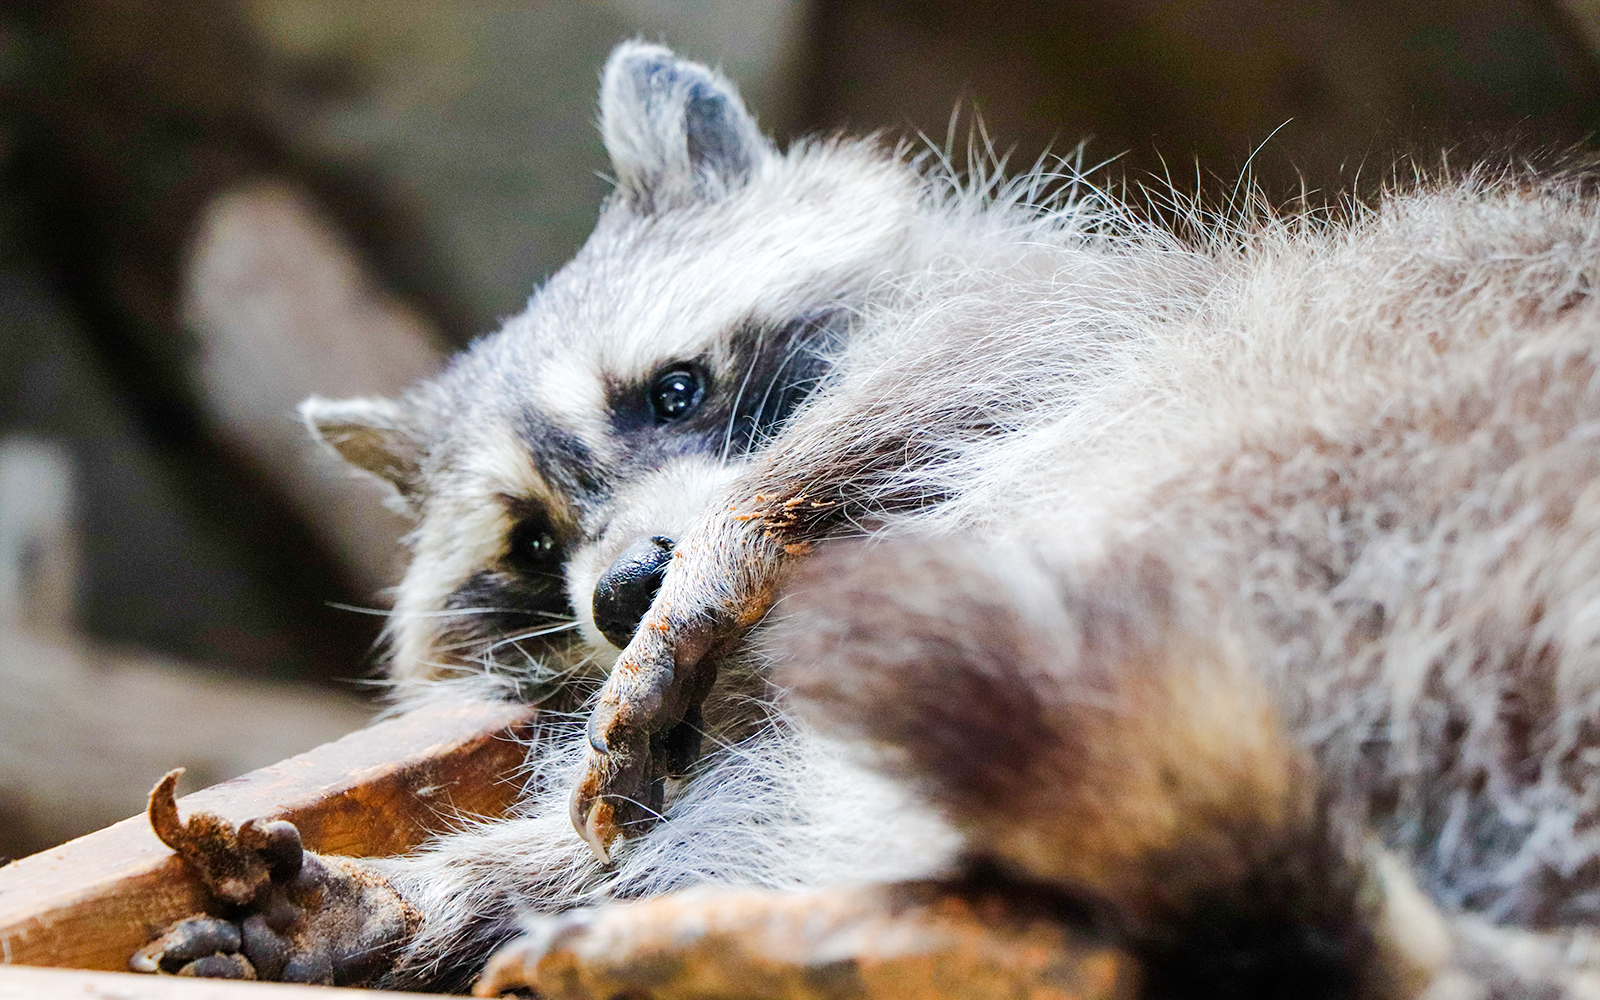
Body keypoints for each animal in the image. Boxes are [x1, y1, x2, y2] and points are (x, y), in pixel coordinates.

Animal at [133, 40, 1600, 999]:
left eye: (676, 389)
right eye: (535, 542)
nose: (626, 589)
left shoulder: (1101, 307)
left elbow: (984, 356)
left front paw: (744, 525)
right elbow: (637, 812)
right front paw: (423, 896)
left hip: (1317, 472)